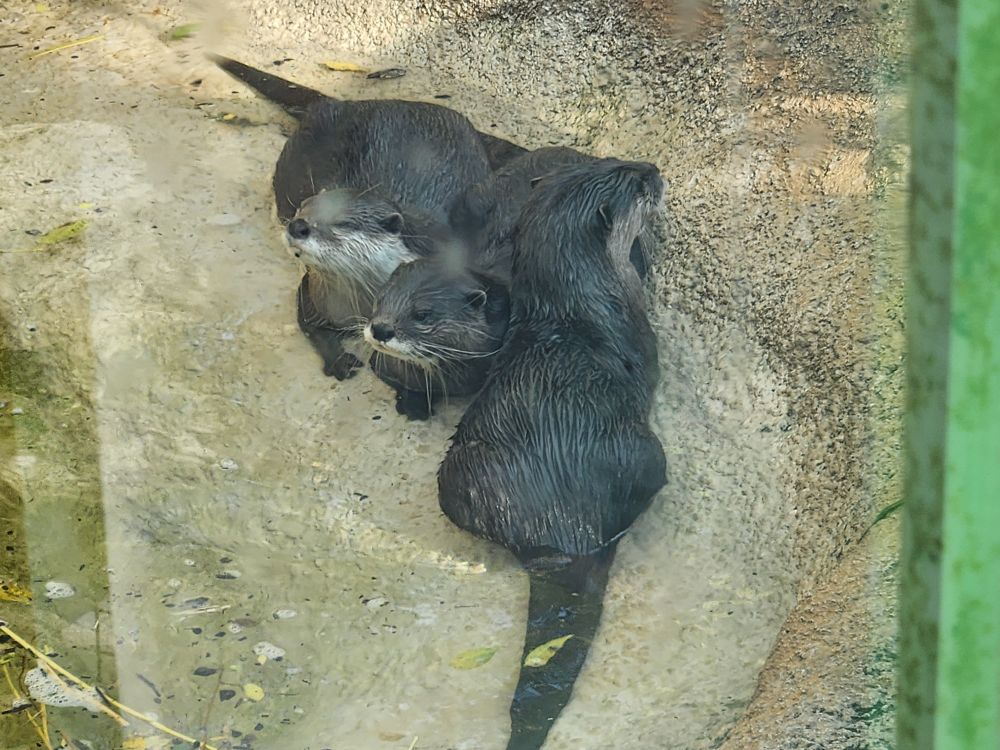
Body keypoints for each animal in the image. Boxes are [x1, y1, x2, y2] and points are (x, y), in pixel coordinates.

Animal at [212, 56, 507, 379]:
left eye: (342, 223)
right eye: (303, 207)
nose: (298, 226)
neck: (363, 306)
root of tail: (343, 104)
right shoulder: (314, 294)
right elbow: (310, 326)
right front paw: (340, 361)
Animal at [437, 159, 668, 750]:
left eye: (611, 161)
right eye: (635, 181)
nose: (655, 168)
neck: (581, 302)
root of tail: (562, 531)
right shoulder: (644, 335)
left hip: (458, 481)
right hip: (647, 456)